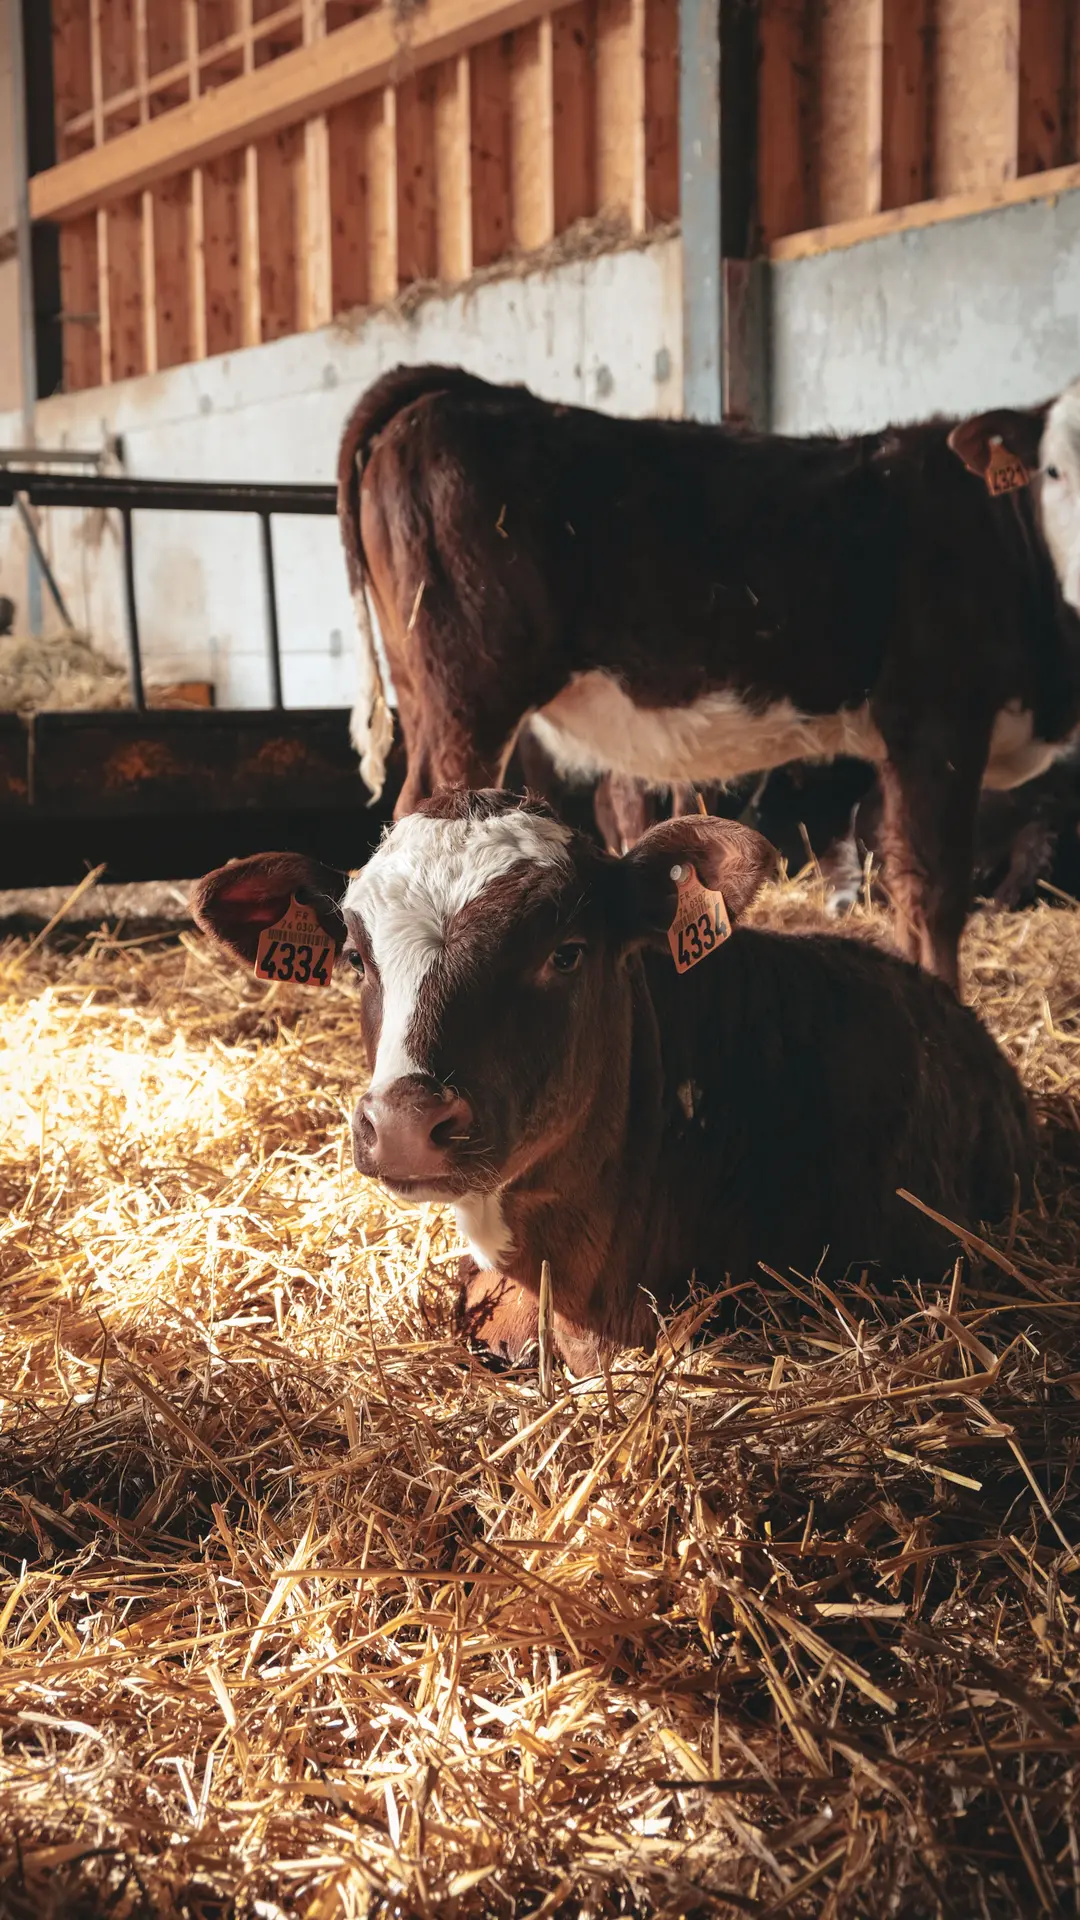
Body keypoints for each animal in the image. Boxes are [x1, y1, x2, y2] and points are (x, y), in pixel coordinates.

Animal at [337, 364, 1080, 993]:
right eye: (1053, 471)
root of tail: (458, 388)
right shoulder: (937, 721)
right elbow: (935, 891)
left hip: (423, 689)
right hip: (470, 691)